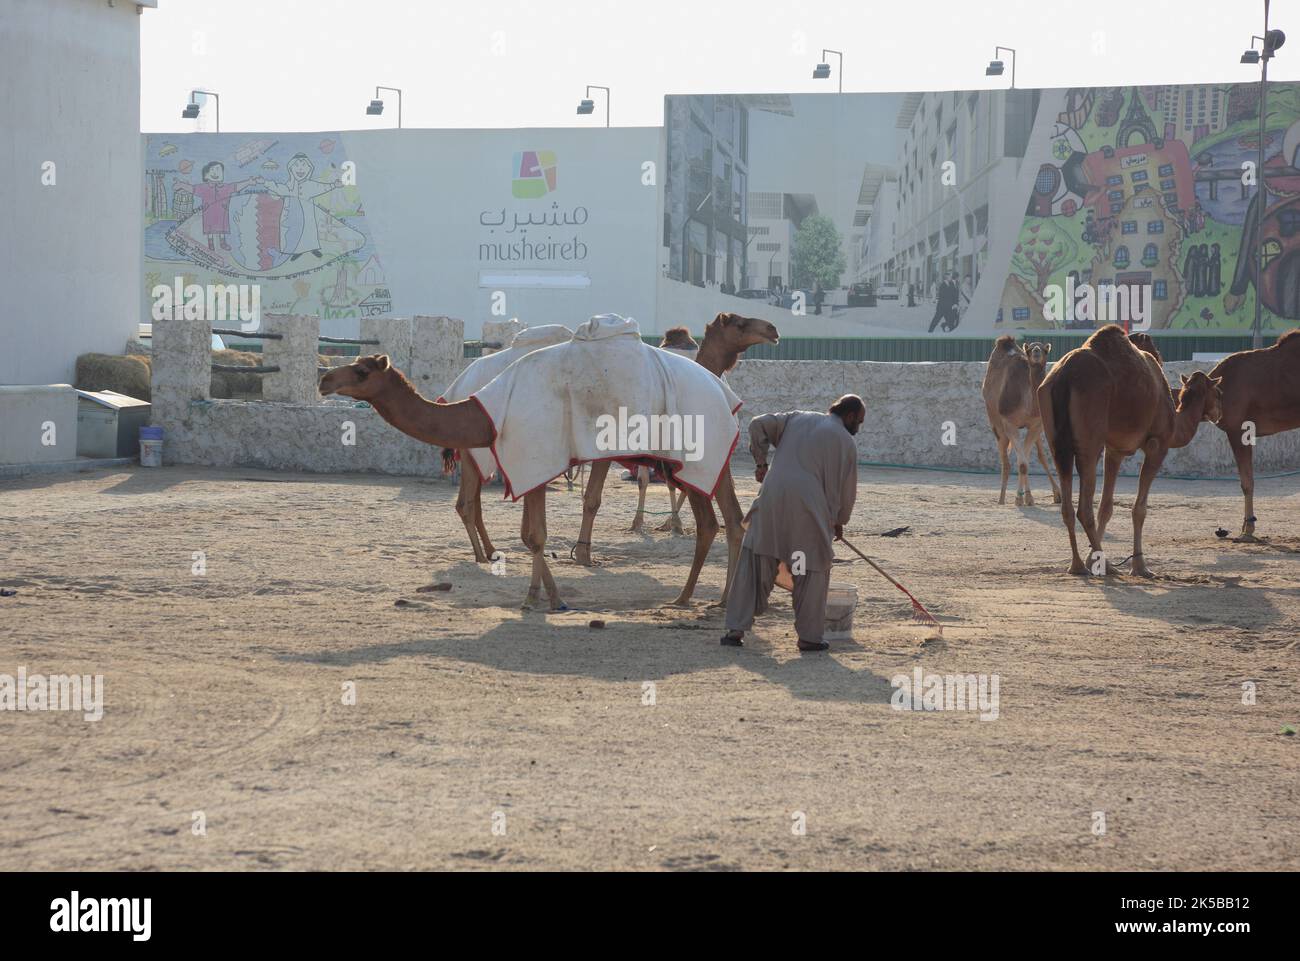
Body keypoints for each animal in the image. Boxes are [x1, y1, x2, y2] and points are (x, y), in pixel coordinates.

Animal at [574, 312, 774, 605]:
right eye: (739, 324)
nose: (772, 329)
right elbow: (597, 496)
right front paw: (584, 554)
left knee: (720, 523)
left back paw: (698, 595)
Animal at [977, 335, 1060, 507]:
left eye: (1045, 349)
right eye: (1029, 350)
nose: (1036, 352)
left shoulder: (1036, 425)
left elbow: (1026, 462)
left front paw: (1027, 498)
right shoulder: (1009, 424)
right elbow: (1021, 464)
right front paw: (1019, 498)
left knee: (1036, 455)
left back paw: (1056, 494)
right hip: (996, 423)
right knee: (1006, 461)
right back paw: (1001, 499)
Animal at [1029, 323, 1222, 579]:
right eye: (1218, 393)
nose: (1219, 413)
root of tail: (1063, 376)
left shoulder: (1115, 450)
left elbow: (1106, 507)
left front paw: (1093, 560)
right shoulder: (1157, 444)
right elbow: (1139, 509)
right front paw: (1140, 566)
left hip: (1056, 440)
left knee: (1067, 505)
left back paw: (1078, 565)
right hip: (1090, 439)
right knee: (1084, 507)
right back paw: (1107, 565)